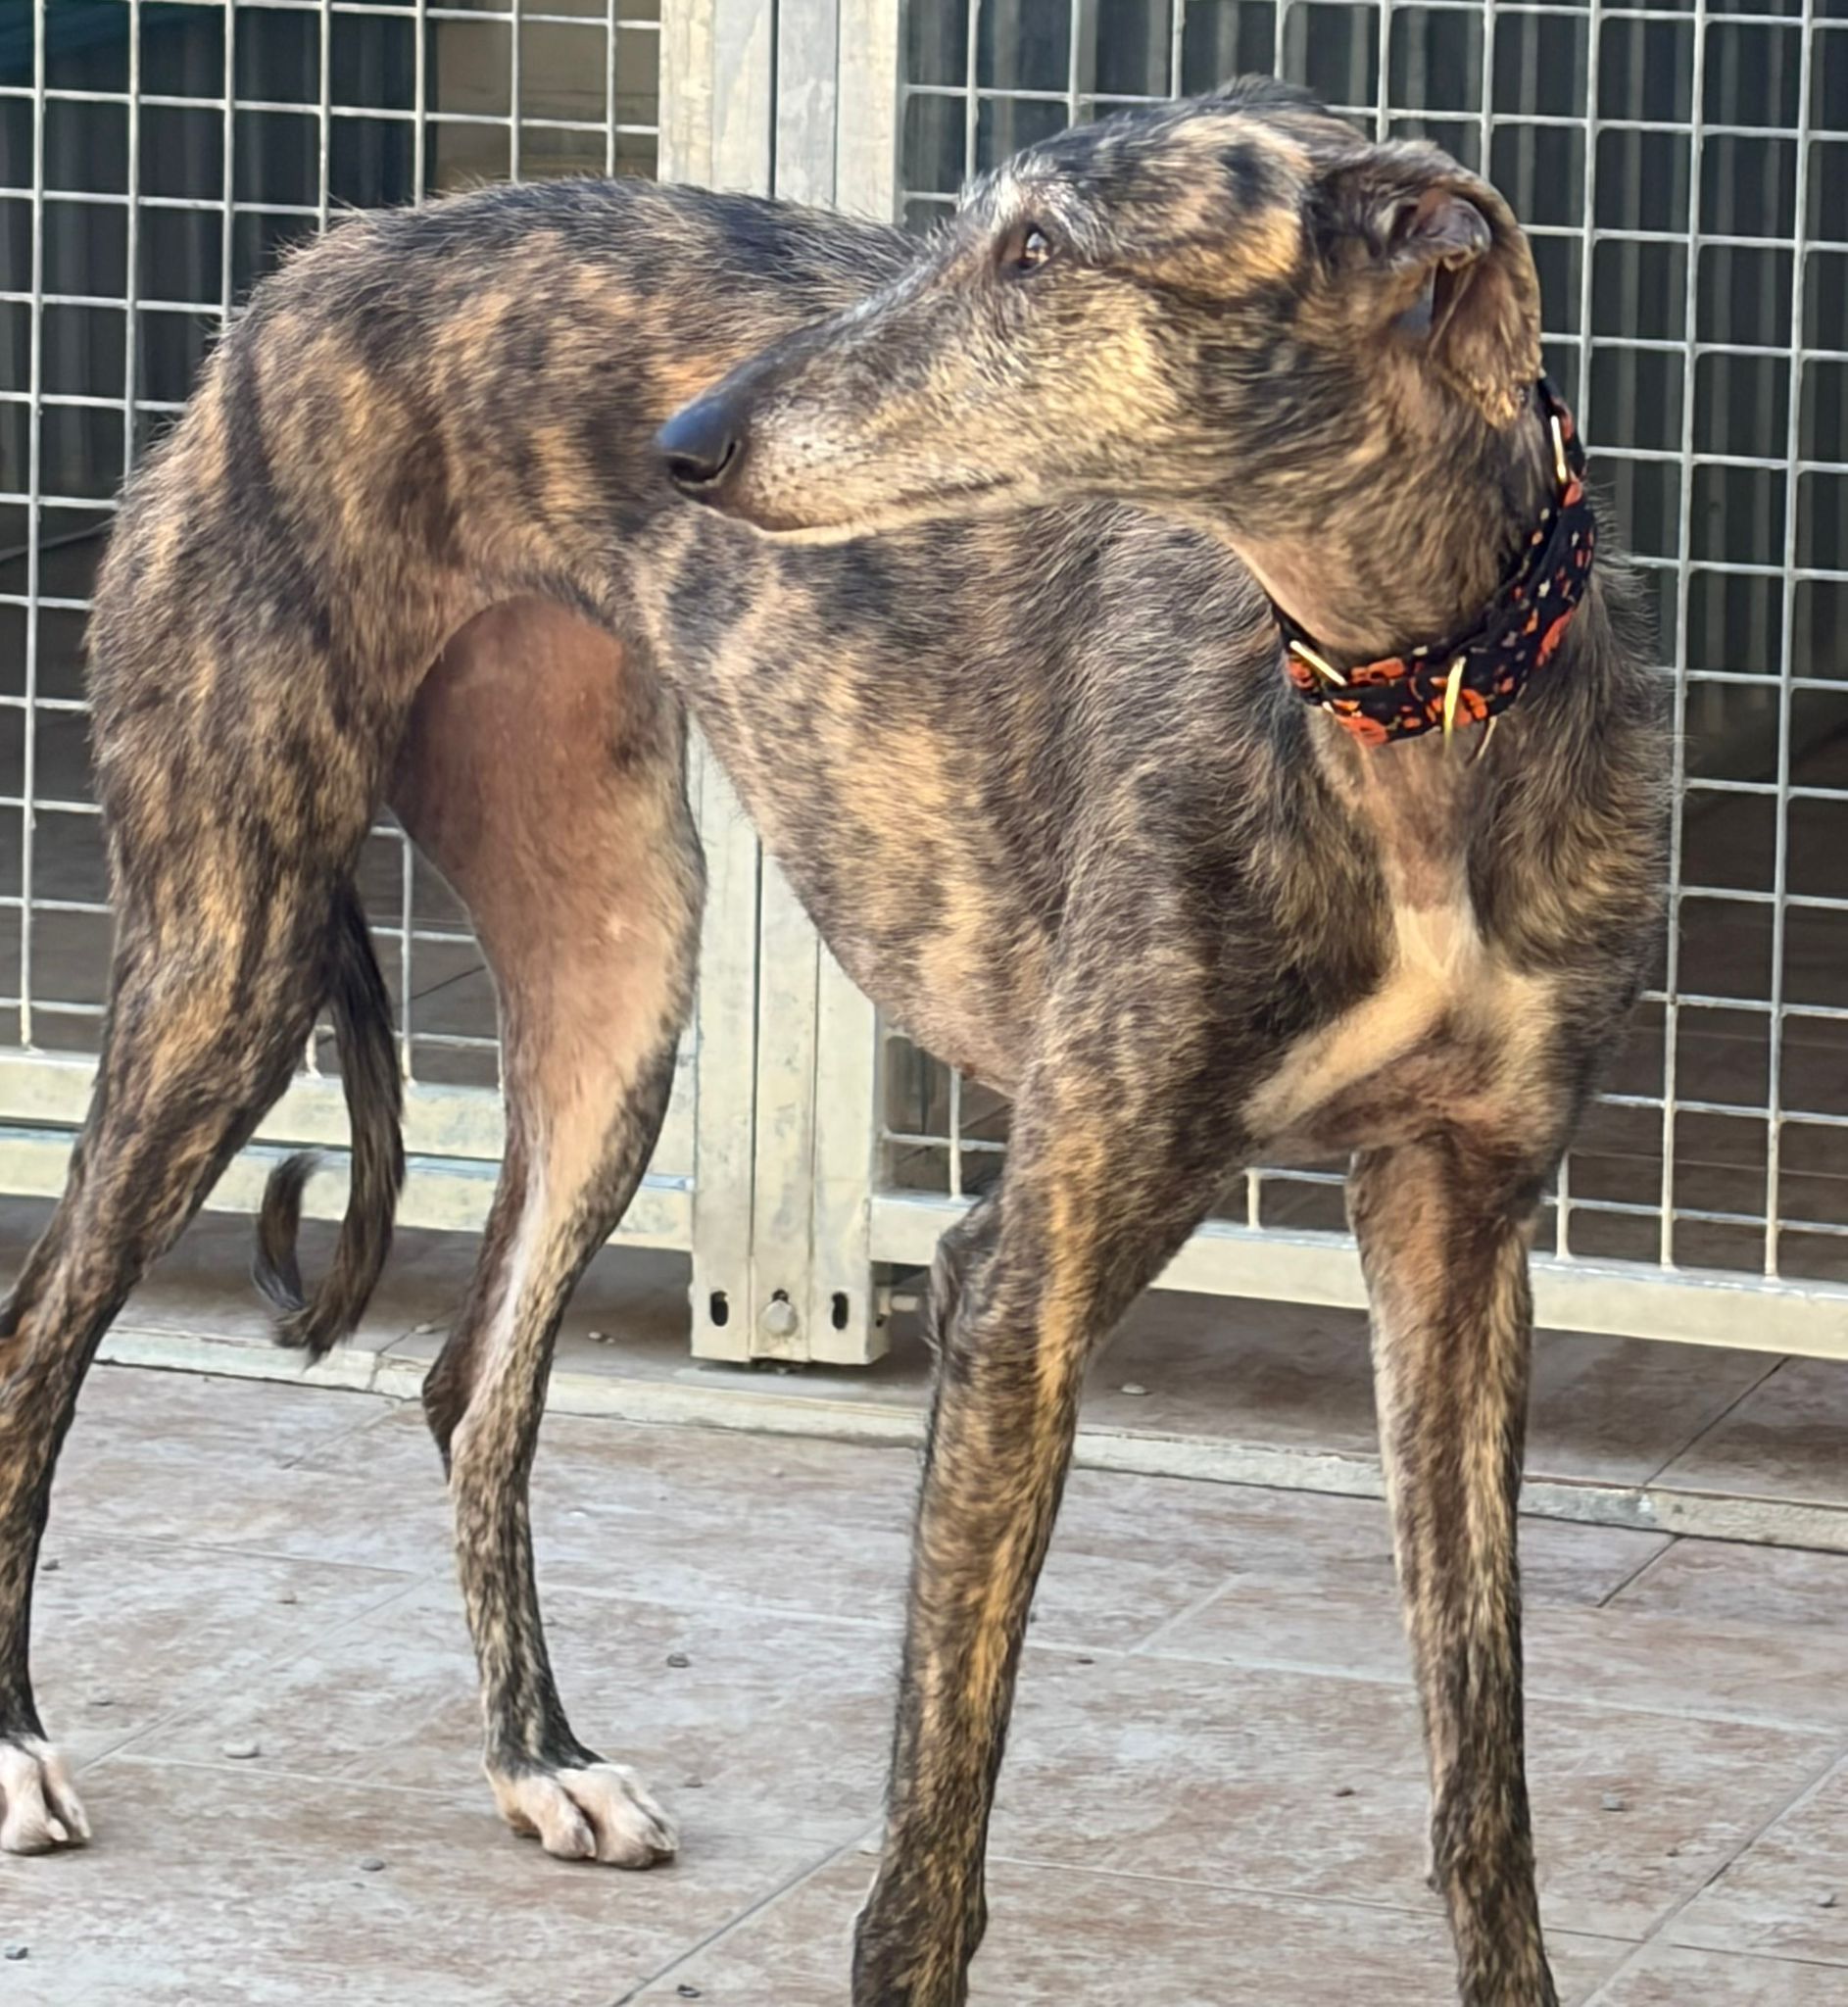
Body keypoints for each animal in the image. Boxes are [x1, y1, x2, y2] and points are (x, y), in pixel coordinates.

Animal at [0, 76, 1663, 2007]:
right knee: (37, 1338)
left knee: (470, 1379)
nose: (685, 444)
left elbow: (1483, 1773)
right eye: (964, 231)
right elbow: (934, 1821)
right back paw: (19, 1749)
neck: (1406, 695)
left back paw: (540, 1761)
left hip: (617, 977)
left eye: (1039, 254)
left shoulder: (1458, 1233)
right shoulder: (1018, 1276)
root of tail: (306, 269)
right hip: (232, 943)